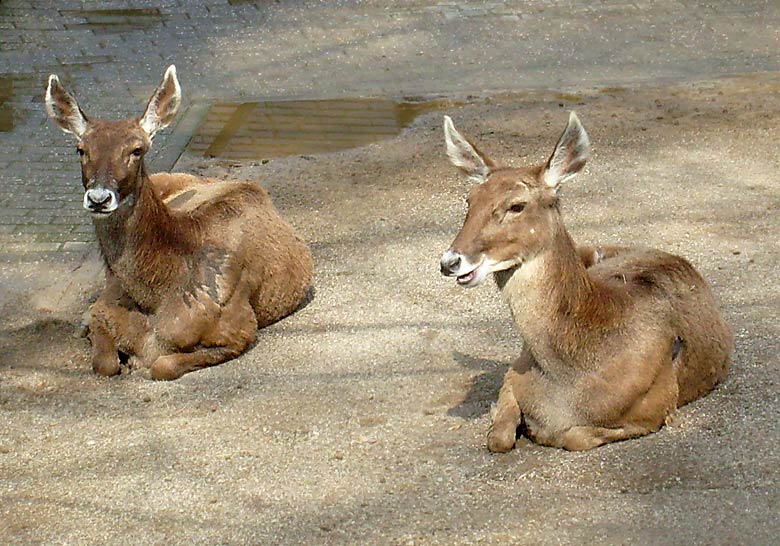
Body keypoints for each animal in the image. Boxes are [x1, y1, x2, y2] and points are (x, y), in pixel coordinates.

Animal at [45, 65, 312, 378]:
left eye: (137, 150)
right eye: (81, 149)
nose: (99, 198)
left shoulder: (239, 328)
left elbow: (162, 366)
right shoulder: (104, 307)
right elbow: (105, 363)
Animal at [442, 111, 736, 450]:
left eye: (517, 205)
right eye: (470, 200)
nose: (450, 262)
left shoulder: (655, 406)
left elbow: (573, 436)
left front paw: (540, 431)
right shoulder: (513, 373)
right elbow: (499, 438)